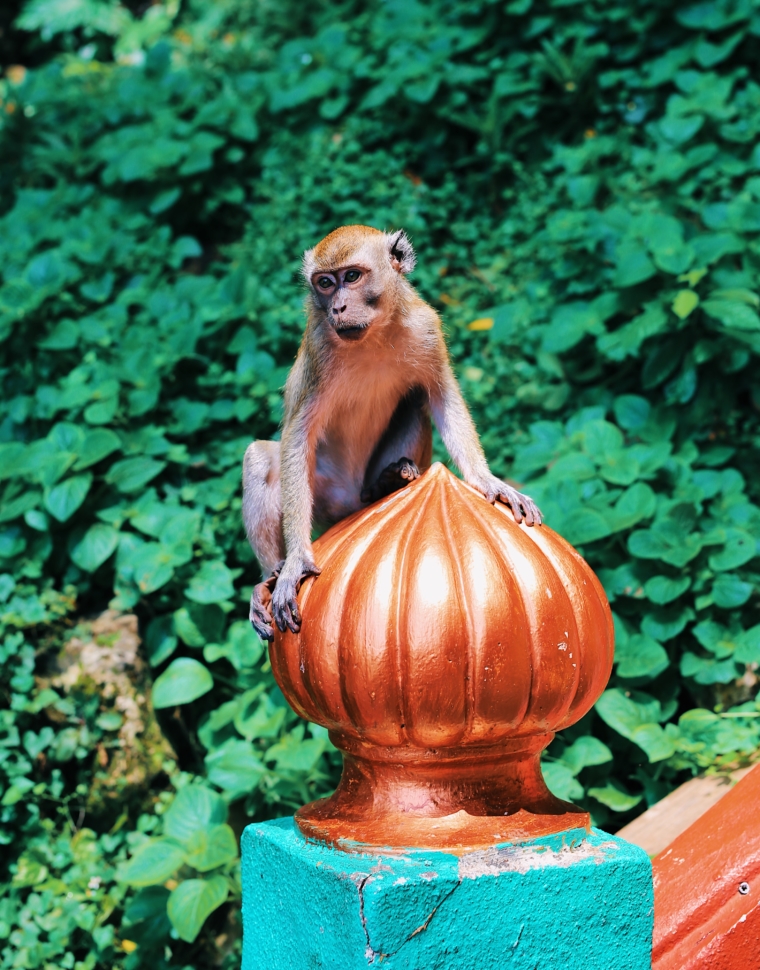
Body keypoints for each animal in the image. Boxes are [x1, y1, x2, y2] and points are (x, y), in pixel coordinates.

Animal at [242, 223, 540, 640]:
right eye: (325, 283)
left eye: (352, 276)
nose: (337, 307)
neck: (375, 335)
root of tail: (350, 502)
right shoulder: (318, 347)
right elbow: (297, 437)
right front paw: (297, 562)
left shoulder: (426, 328)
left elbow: (441, 397)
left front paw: (488, 482)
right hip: (325, 495)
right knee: (260, 459)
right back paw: (268, 579)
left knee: (414, 401)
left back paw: (384, 484)